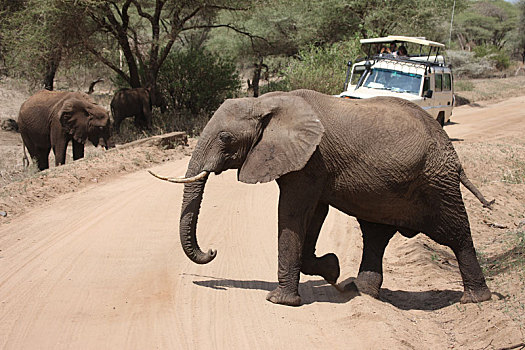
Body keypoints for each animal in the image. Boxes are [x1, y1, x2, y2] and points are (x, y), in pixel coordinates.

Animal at [149, 89, 494, 306]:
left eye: (225, 137)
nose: (212, 250)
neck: (266, 103)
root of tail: (453, 154)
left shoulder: (311, 160)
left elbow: (293, 213)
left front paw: (281, 301)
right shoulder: (309, 163)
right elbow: (314, 213)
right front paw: (331, 270)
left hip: (436, 183)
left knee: (456, 234)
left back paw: (475, 300)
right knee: (375, 235)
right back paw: (358, 290)